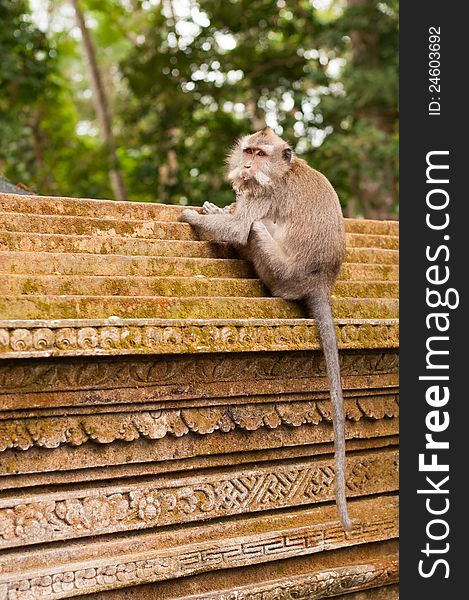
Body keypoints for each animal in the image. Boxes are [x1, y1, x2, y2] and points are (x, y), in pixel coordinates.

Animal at [182, 127, 352, 528]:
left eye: (260, 155)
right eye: (248, 151)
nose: (246, 167)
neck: (281, 171)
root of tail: (319, 282)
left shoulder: (263, 193)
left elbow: (238, 227)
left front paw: (194, 214)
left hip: (279, 272)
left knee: (254, 229)